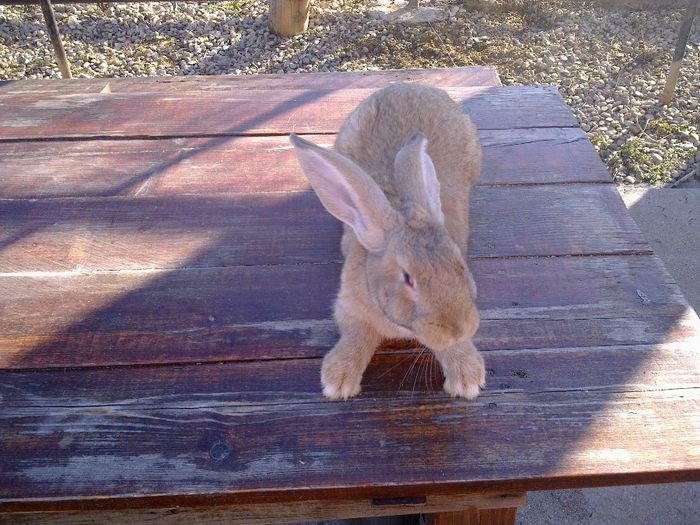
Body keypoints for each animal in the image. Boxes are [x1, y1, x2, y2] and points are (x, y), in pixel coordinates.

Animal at [288, 84, 482, 400]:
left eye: (460, 264)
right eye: (408, 278)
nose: (458, 329)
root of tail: (411, 84)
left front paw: (468, 378)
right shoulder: (349, 309)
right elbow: (355, 336)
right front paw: (337, 380)